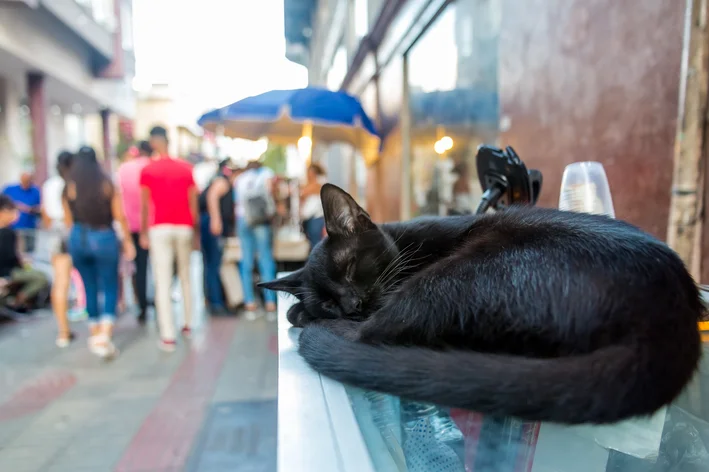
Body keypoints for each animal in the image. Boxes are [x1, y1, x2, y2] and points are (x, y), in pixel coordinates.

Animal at [262, 183, 704, 424]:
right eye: (329, 301)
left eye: (352, 268)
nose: (351, 304)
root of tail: (673, 309)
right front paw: (302, 308)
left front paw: (301, 314)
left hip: (454, 276)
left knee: (374, 332)